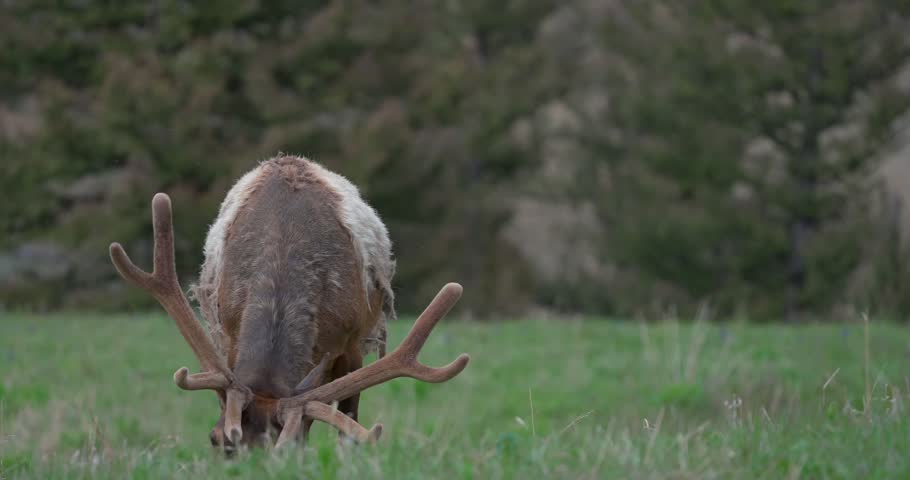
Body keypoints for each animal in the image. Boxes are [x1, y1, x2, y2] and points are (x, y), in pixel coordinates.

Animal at [109, 156, 469, 451]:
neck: (285, 244)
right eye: (215, 440)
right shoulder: (229, 334)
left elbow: (343, 426)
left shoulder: (350, 342)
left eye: (285, 452)